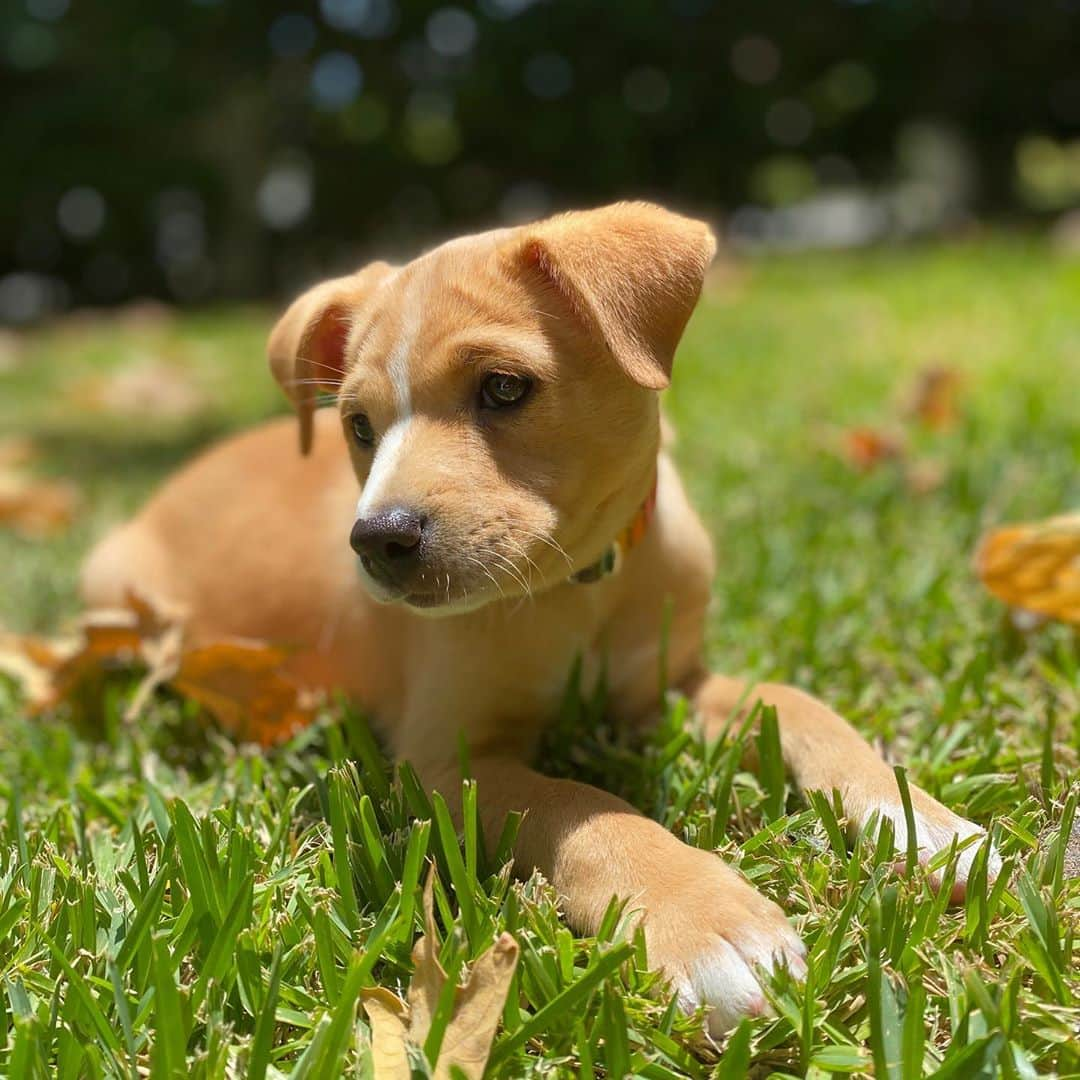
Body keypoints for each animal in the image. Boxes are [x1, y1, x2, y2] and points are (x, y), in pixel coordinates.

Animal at [79, 204, 997, 1036]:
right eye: (358, 427)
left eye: (505, 387)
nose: (378, 540)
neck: (575, 589)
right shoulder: (442, 763)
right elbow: (580, 806)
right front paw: (705, 921)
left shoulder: (671, 684)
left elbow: (796, 703)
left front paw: (912, 819)